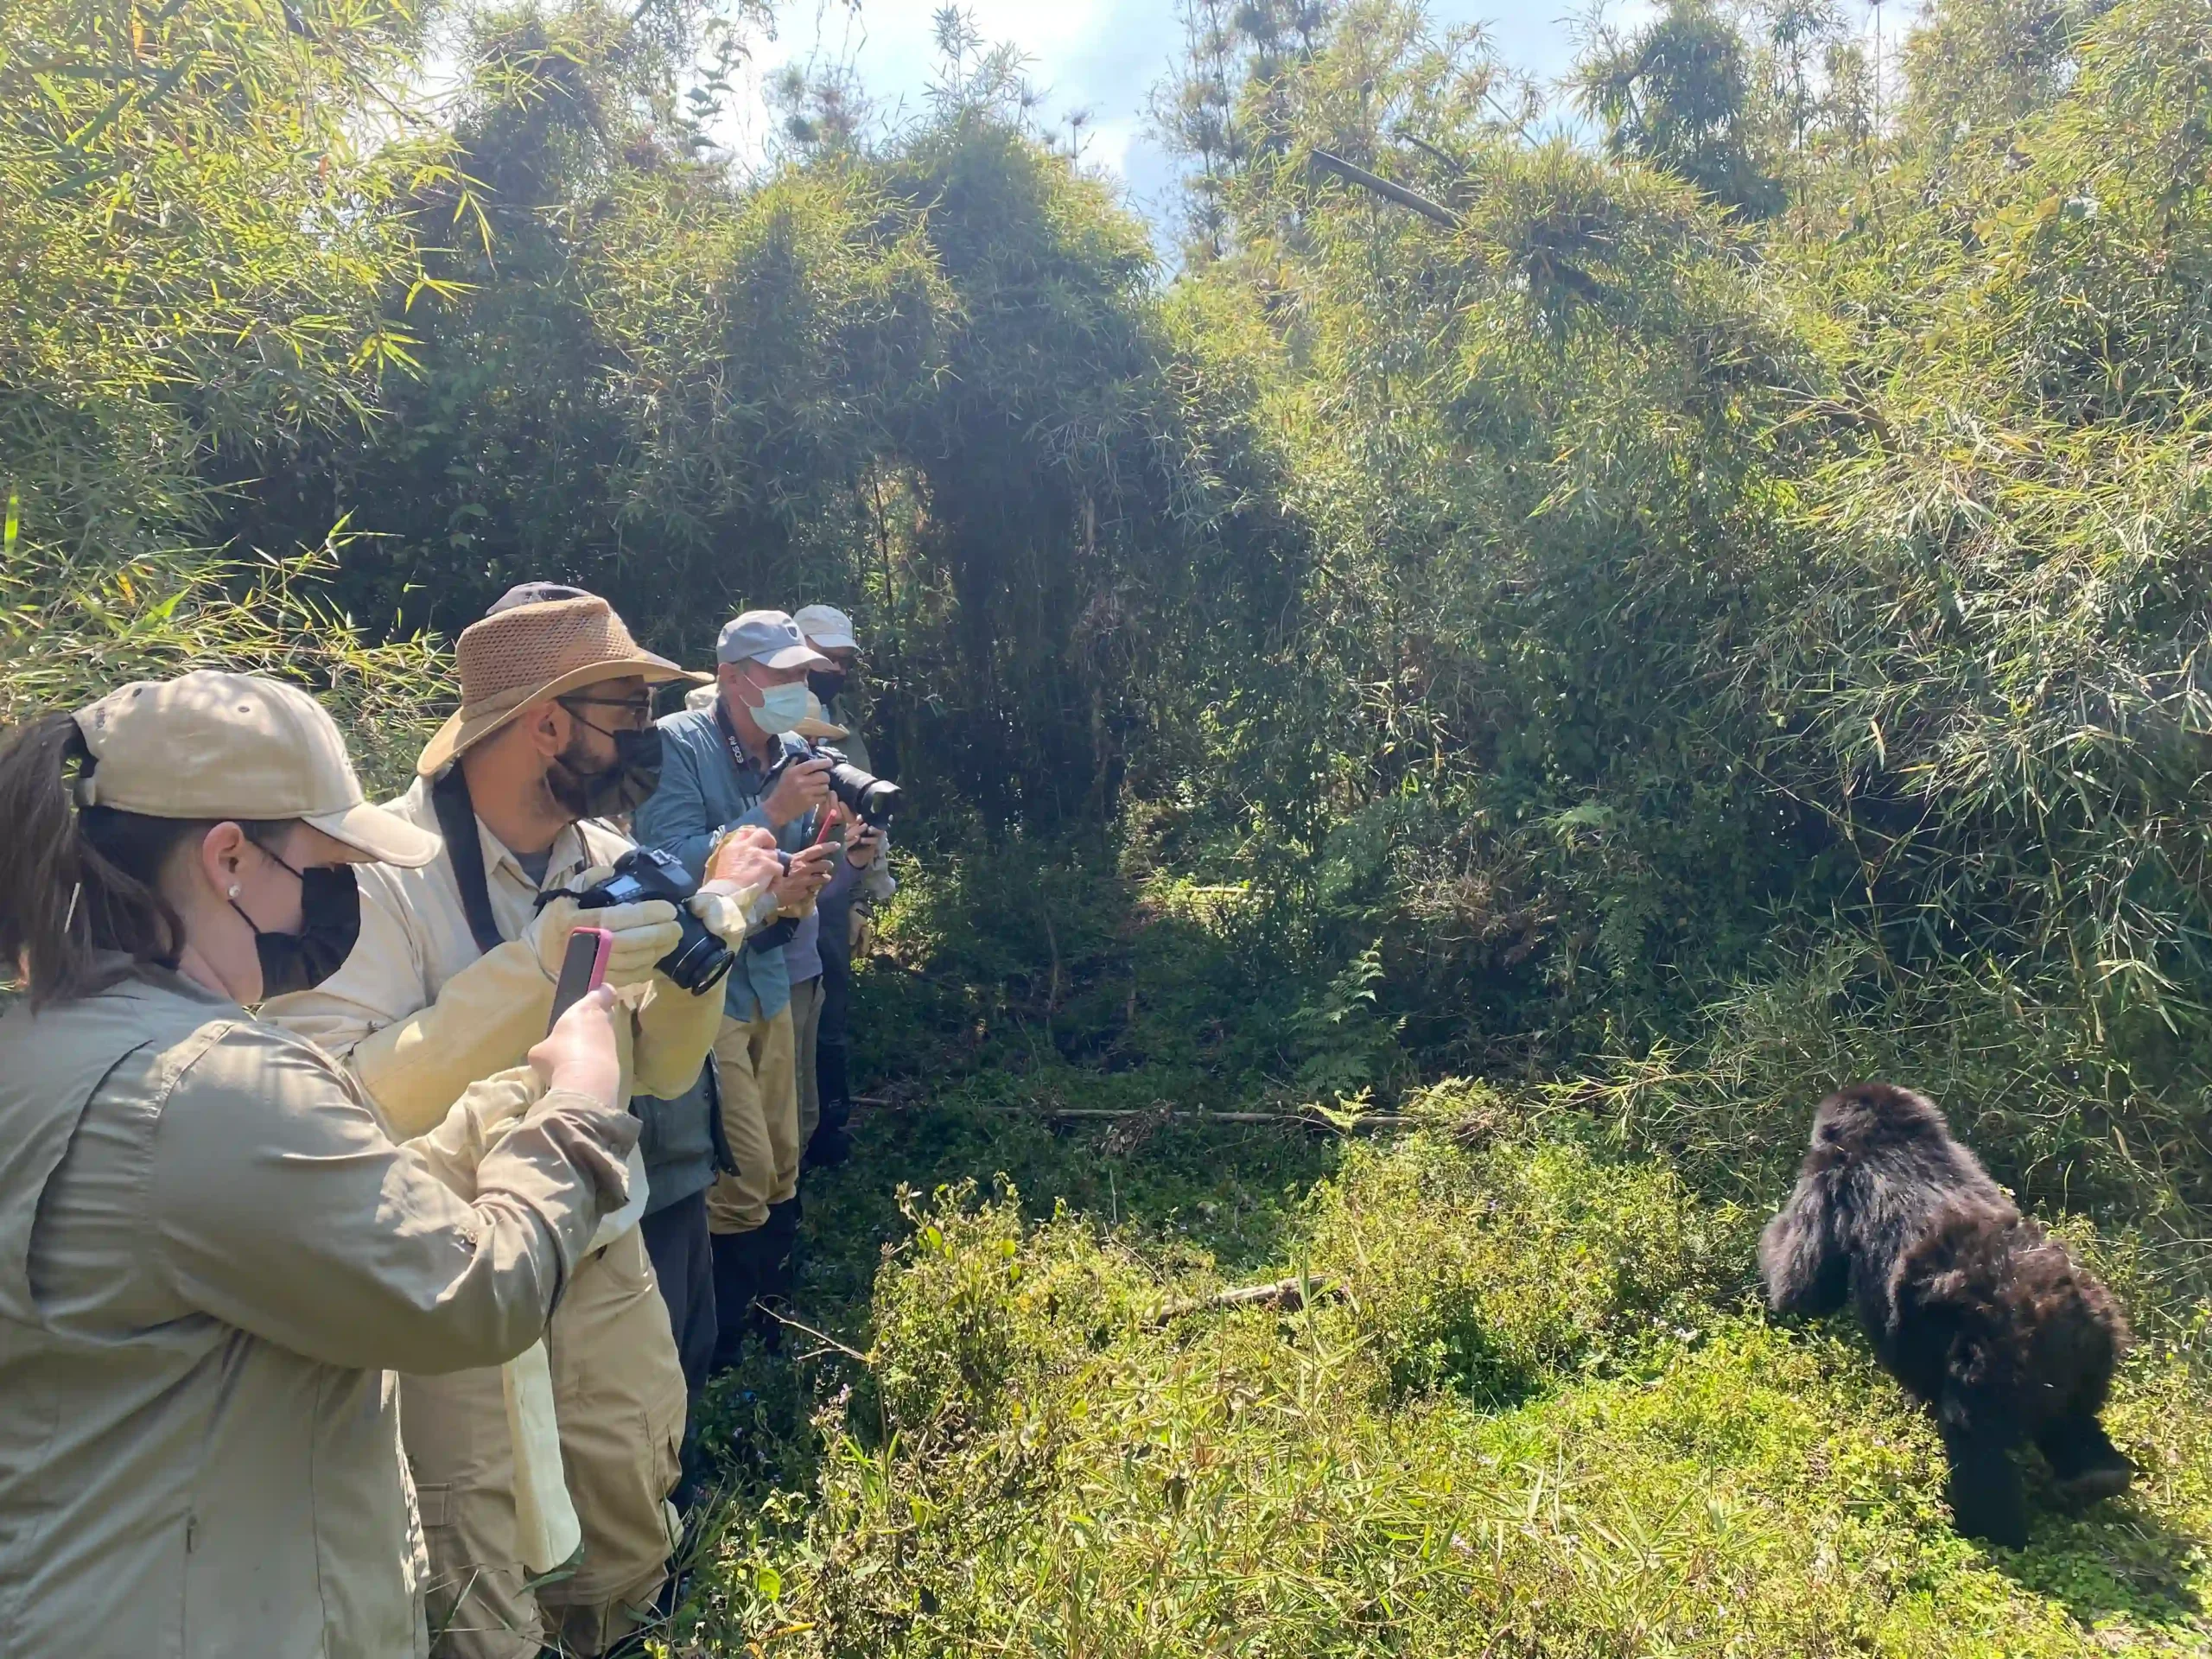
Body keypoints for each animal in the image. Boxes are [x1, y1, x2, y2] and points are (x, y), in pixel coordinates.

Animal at [1759, 1082, 2133, 1548]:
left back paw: (1989, 1531)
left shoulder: (1830, 1177)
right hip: (2093, 1346)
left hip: (2002, 1358)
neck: (1895, 1138)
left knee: (1975, 1439)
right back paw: (2097, 1477)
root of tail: (2066, 1309)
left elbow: (1803, 1289)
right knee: (2069, 1417)